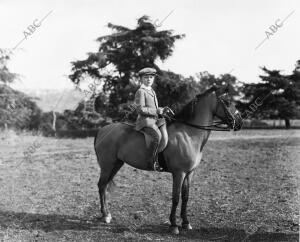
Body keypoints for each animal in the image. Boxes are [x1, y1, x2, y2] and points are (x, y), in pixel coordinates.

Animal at [94, 85, 244, 234]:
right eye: (227, 102)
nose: (240, 122)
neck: (189, 134)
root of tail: (103, 130)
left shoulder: (189, 173)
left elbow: (185, 197)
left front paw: (186, 223)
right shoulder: (179, 173)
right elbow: (176, 197)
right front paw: (173, 225)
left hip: (116, 164)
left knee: (105, 186)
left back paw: (107, 214)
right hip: (107, 165)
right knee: (101, 186)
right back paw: (105, 215)